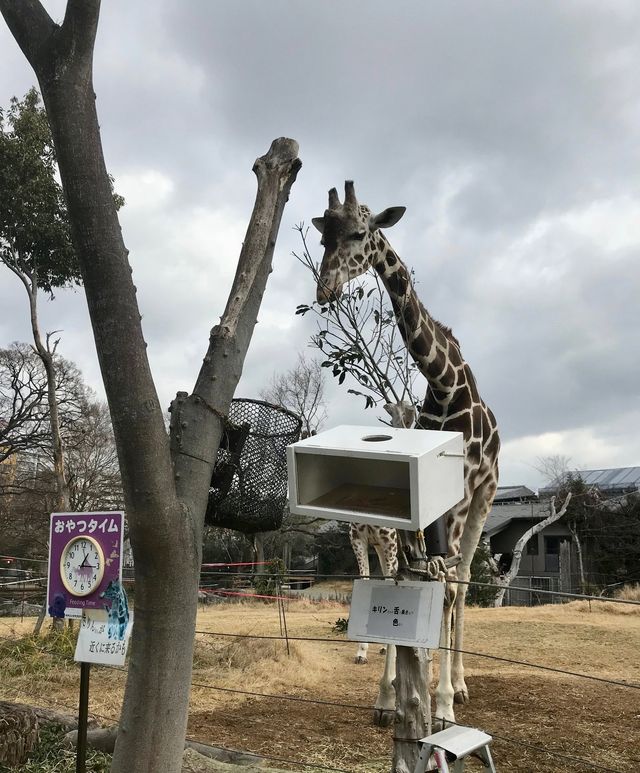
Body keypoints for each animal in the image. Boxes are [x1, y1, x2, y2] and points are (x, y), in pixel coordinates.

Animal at [310, 181, 500, 724]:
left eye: (359, 232)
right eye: (325, 235)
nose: (324, 290)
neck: (444, 384)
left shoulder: (460, 492)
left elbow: (446, 588)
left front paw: (441, 706)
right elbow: (396, 582)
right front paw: (389, 698)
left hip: (484, 497)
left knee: (461, 583)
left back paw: (458, 686)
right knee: (443, 580)